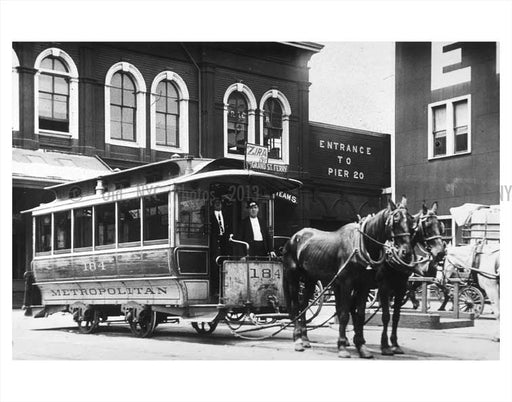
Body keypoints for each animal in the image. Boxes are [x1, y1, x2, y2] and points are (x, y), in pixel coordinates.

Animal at [282, 196, 414, 356]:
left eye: (411, 222)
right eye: (396, 220)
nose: (406, 252)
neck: (360, 245)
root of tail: (294, 237)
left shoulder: (364, 285)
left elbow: (360, 314)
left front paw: (361, 346)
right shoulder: (347, 283)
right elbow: (344, 314)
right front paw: (342, 346)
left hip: (310, 280)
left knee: (304, 305)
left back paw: (305, 338)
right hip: (293, 277)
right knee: (296, 306)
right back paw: (298, 339)